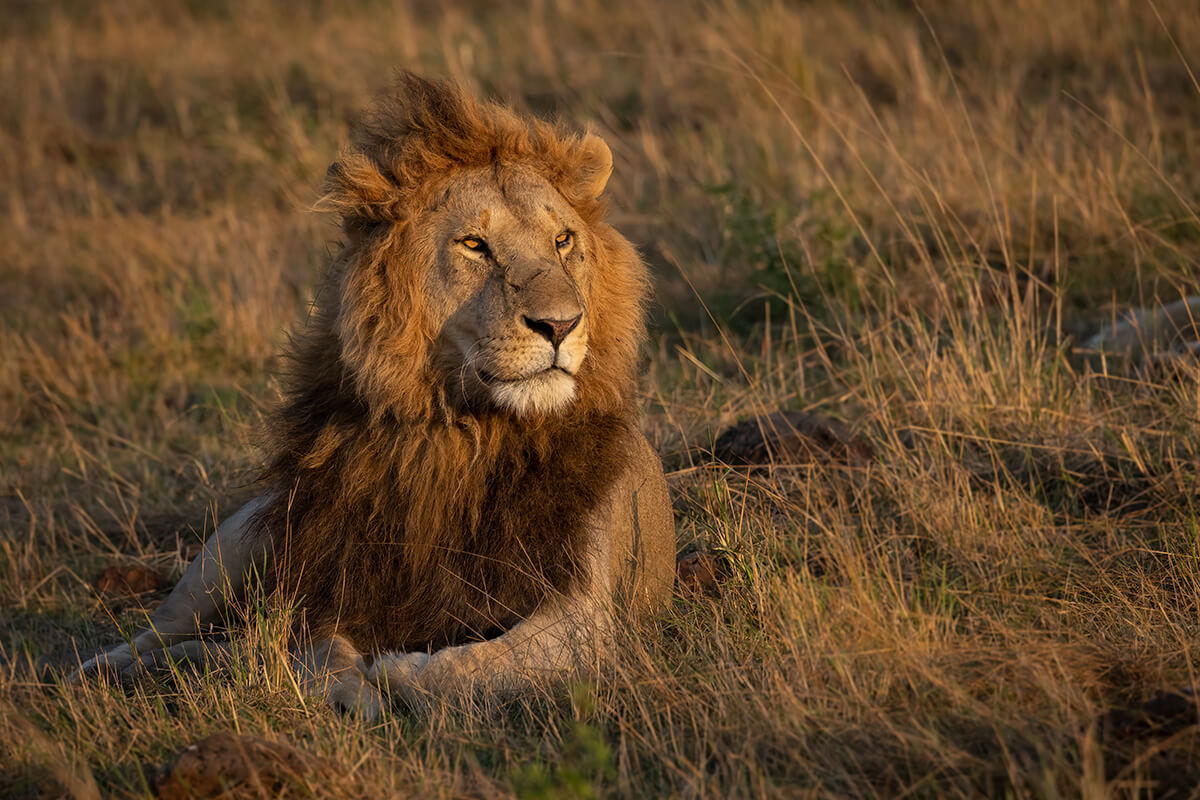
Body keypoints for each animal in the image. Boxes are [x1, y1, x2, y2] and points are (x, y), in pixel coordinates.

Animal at [72, 73, 676, 714]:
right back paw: (102, 671)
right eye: (474, 245)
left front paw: (393, 673)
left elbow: (478, 665)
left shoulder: (586, 614)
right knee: (163, 629)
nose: (561, 325)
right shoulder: (331, 576)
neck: (466, 432)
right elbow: (318, 647)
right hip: (240, 542)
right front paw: (344, 687)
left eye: (563, 240)